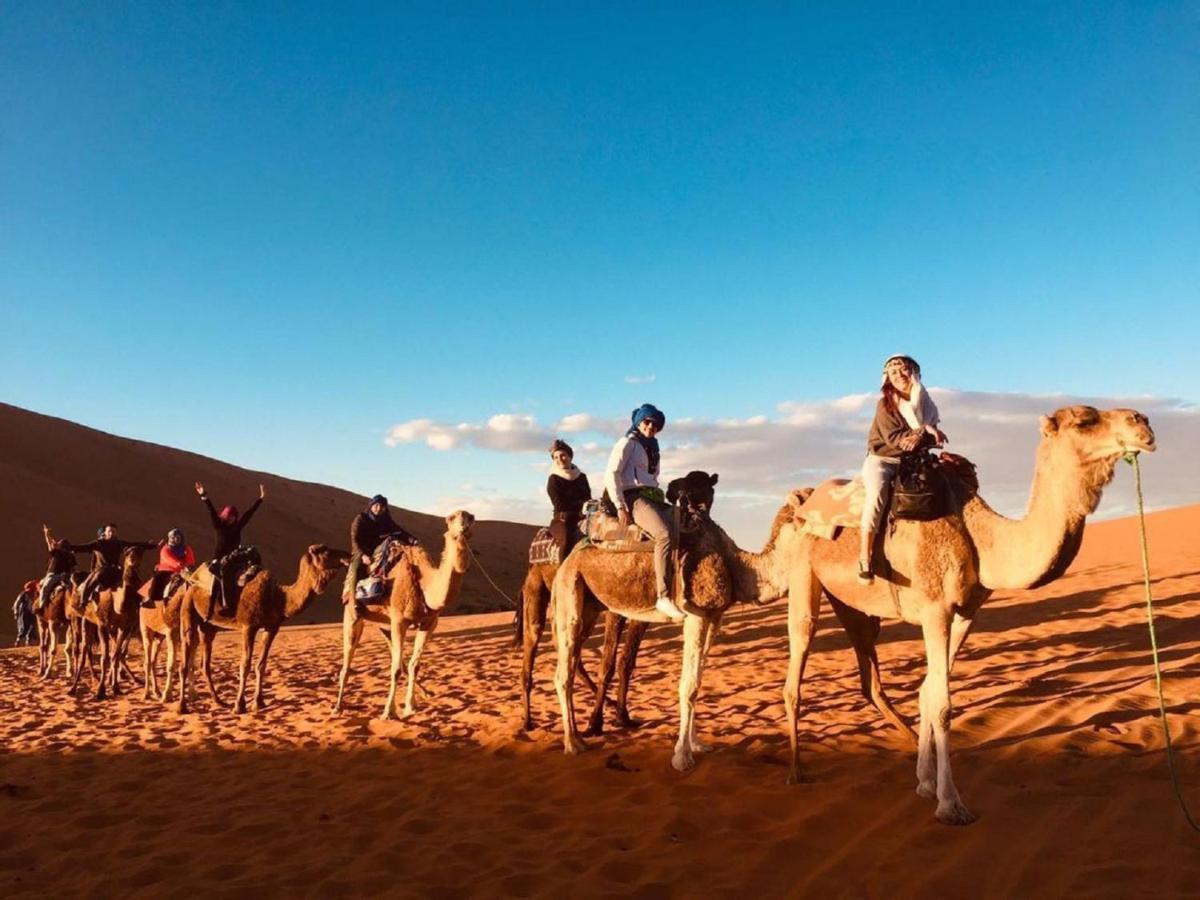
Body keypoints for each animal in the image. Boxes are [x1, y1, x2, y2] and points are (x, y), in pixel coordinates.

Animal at [177, 547, 350, 715]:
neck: (279, 597)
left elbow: (261, 664)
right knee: (185, 660)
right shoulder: (248, 627)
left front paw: (258, 703)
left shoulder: (272, 628)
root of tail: (191, 580)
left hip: (208, 627)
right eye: (326, 552)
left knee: (205, 664)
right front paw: (239, 706)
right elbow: (245, 665)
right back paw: (182, 707)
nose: (347, 555)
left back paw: (219, 701)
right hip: (188, 608)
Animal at [333, 511, 477, 724]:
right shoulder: (400, 620)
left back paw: (425, 692)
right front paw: (388, 712)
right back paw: (337, 707)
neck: (423, 583)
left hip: (385, 623)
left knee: (397, 656)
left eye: (471, 517)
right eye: (451, 518)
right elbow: (395, 670)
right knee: (348, 660)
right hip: (352, 615)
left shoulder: (429, 622)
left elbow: (414, 664)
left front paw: (410, 705)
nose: (463, 526)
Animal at [782, 405, 1156, 830]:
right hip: (803, 572)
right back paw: (796, 770)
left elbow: (928, 693)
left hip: (854, 606)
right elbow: (943, 703)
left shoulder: (965, 614)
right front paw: (951, 804)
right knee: (800, 647)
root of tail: (801, 502)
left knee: (866, 659)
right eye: (1084, 421)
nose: (1142, 422)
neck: (978, 535)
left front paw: (925, 782)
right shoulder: (935, 610)